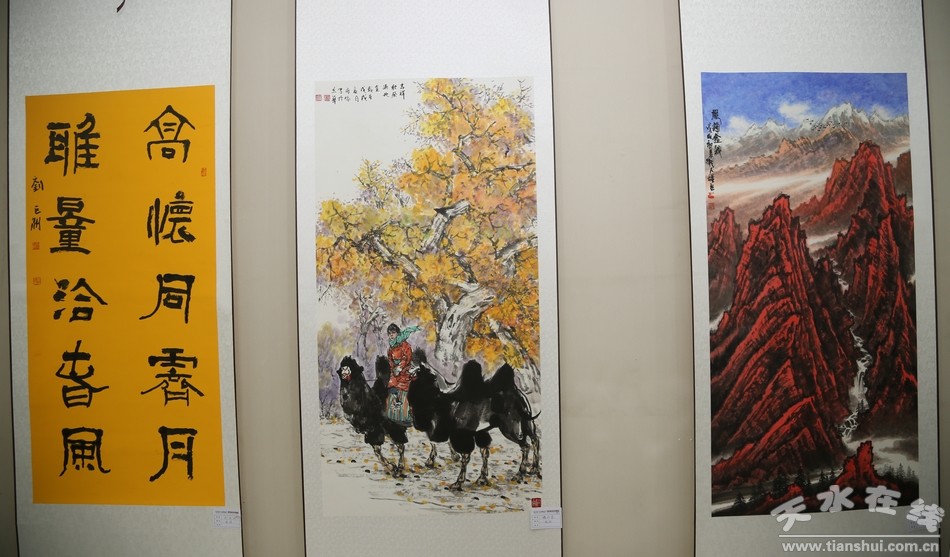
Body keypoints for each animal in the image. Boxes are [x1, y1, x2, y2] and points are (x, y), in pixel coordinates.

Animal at [408, 355, 541, 490]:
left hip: (510, 427)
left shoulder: (462, 433)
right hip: (526, 421)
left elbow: (465, 456)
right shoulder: (477, 432)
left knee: (525, 445)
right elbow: (484, 453)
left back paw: (520, 474)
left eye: (417, 372)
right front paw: (482, 479)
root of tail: (519, 395)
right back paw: (534, 469)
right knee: (535, 439)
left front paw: (458, 482)